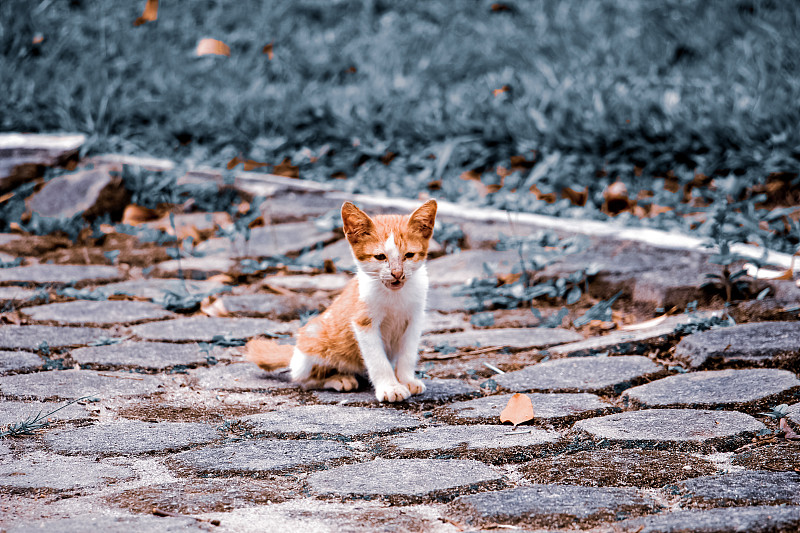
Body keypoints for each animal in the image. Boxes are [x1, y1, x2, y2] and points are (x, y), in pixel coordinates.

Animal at [248, 197, 438, 402]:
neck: (395, 297)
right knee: (302, 379)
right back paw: (339, 379)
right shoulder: (363, 322)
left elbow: (408, 354)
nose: (397, 274)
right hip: (314, 342)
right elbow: (377, 359)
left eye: (409, 255)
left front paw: (406, 380)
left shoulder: (415, 318)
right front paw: (390, 387)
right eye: (380, 257)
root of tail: (295, 353)